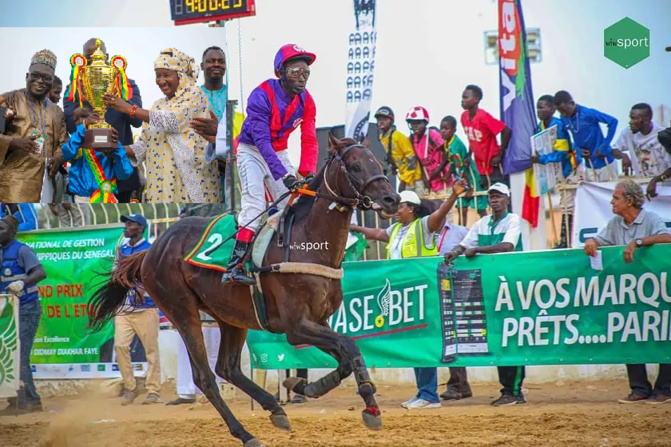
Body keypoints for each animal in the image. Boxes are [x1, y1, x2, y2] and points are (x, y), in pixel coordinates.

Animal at [90, 136, 404, 447]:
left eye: (378, 164)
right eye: (355, 166)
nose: (393, 200)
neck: (307, 242)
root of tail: (151, 249)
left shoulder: (319, 320)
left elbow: (347, 354)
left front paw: (309, 387)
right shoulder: (296, 326)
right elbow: (349, 347)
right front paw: (363, 403)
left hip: (229, 316)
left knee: (227, 368)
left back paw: (275, 408)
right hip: (182, 311)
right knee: (205, 377)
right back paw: (246, 434)